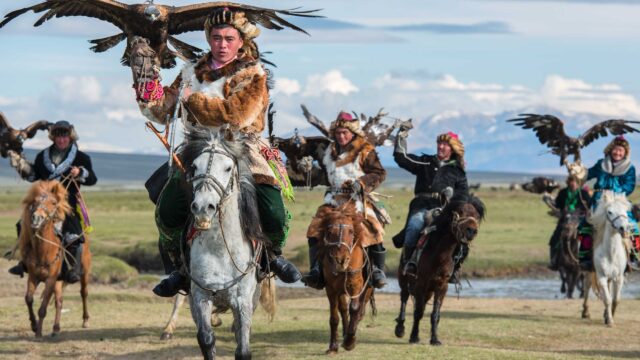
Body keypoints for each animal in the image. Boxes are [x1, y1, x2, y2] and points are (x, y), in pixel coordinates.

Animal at [19, 181, 92, 336]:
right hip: (59, 281)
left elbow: (43, 307)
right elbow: (28, 299)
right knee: (59, 300)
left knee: (83, 293)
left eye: (53, 202)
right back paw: (56, 328)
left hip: (84, 272)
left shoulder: (50, 279)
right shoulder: (33, 276)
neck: (44, 251)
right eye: (34, 202)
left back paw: (85, 320)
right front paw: (34, 325)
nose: (36, 218)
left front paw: (38, 333)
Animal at [178, 128, 276, 358]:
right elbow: (206, 338)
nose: (203, 207)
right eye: (194, 166)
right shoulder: (200, 295)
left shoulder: (243, 300)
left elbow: (243, 348)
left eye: (228, 167)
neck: (219, 250)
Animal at [318, 202, 376, 354]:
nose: (341, 260)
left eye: (350, 231)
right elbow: (334, 316)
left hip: (366, 288)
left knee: (359, 309)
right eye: (329, 232)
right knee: (343, 309)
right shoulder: (331, 288)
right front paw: (333, 346)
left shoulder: (355, 285)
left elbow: (355, 308)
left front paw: (350, 341)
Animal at [392, 194, 482, 346]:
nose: (471, 231)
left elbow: (435, 314)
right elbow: (418, 312)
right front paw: (414, 336)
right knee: (404, 297)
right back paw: (400, 328)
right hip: (404, 279)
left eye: (476, 215)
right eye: (461, 212)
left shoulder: (441, 286)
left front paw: (434, 339)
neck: (438, 255)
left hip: (428, 291)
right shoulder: (420, 284)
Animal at [580, 191, 632, 326]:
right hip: (589, 271)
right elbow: (607, 299)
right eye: (609, 212)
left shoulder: (619, 277)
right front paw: (610, 321)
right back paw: (585, 312)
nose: (623, 228)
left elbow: (616, 299)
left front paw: (608, 316)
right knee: (587, 287)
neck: (611, 254)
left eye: (625, 211)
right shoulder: (601, 276)